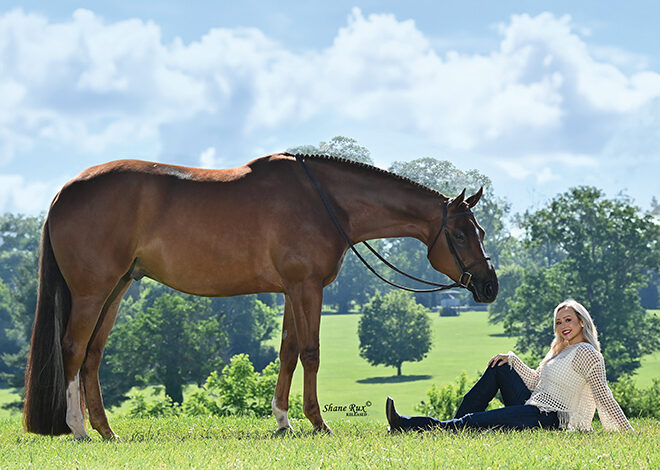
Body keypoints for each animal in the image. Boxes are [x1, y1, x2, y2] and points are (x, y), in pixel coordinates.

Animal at [24, 152, 496, 438]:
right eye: (459, 234)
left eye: (481, 231)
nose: (489, 285)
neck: (325, 203)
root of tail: (65, 191)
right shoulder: (306, 287)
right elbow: (310, 352)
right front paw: (317, 422)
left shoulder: (291, 290)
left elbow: (287, 352)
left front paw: (283, 421)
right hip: (93, 292)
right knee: (72, 349)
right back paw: (78, 429)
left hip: (118, 289)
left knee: (93, 355)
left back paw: (106, 430)